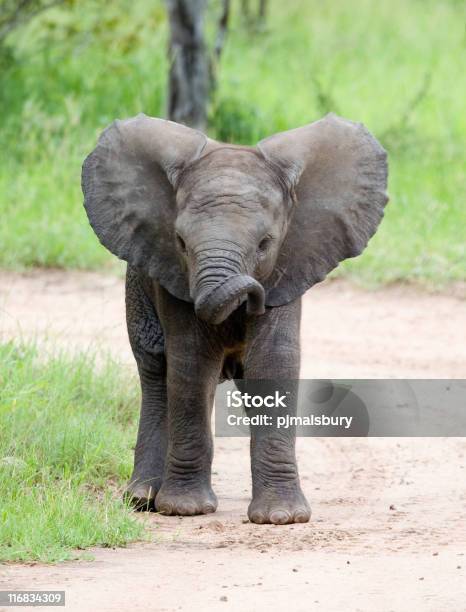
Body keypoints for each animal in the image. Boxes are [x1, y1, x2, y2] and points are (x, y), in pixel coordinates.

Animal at [82, 112, 388, 524]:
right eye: (180, 242)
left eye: (265, 243)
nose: (250, 297)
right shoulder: (173, 276)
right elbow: (191, 363)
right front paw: (185, 509)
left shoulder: (289, 266)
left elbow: (273, 362)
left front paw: (281, 518)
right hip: (138, 291)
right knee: (157, 374)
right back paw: (143, 498)